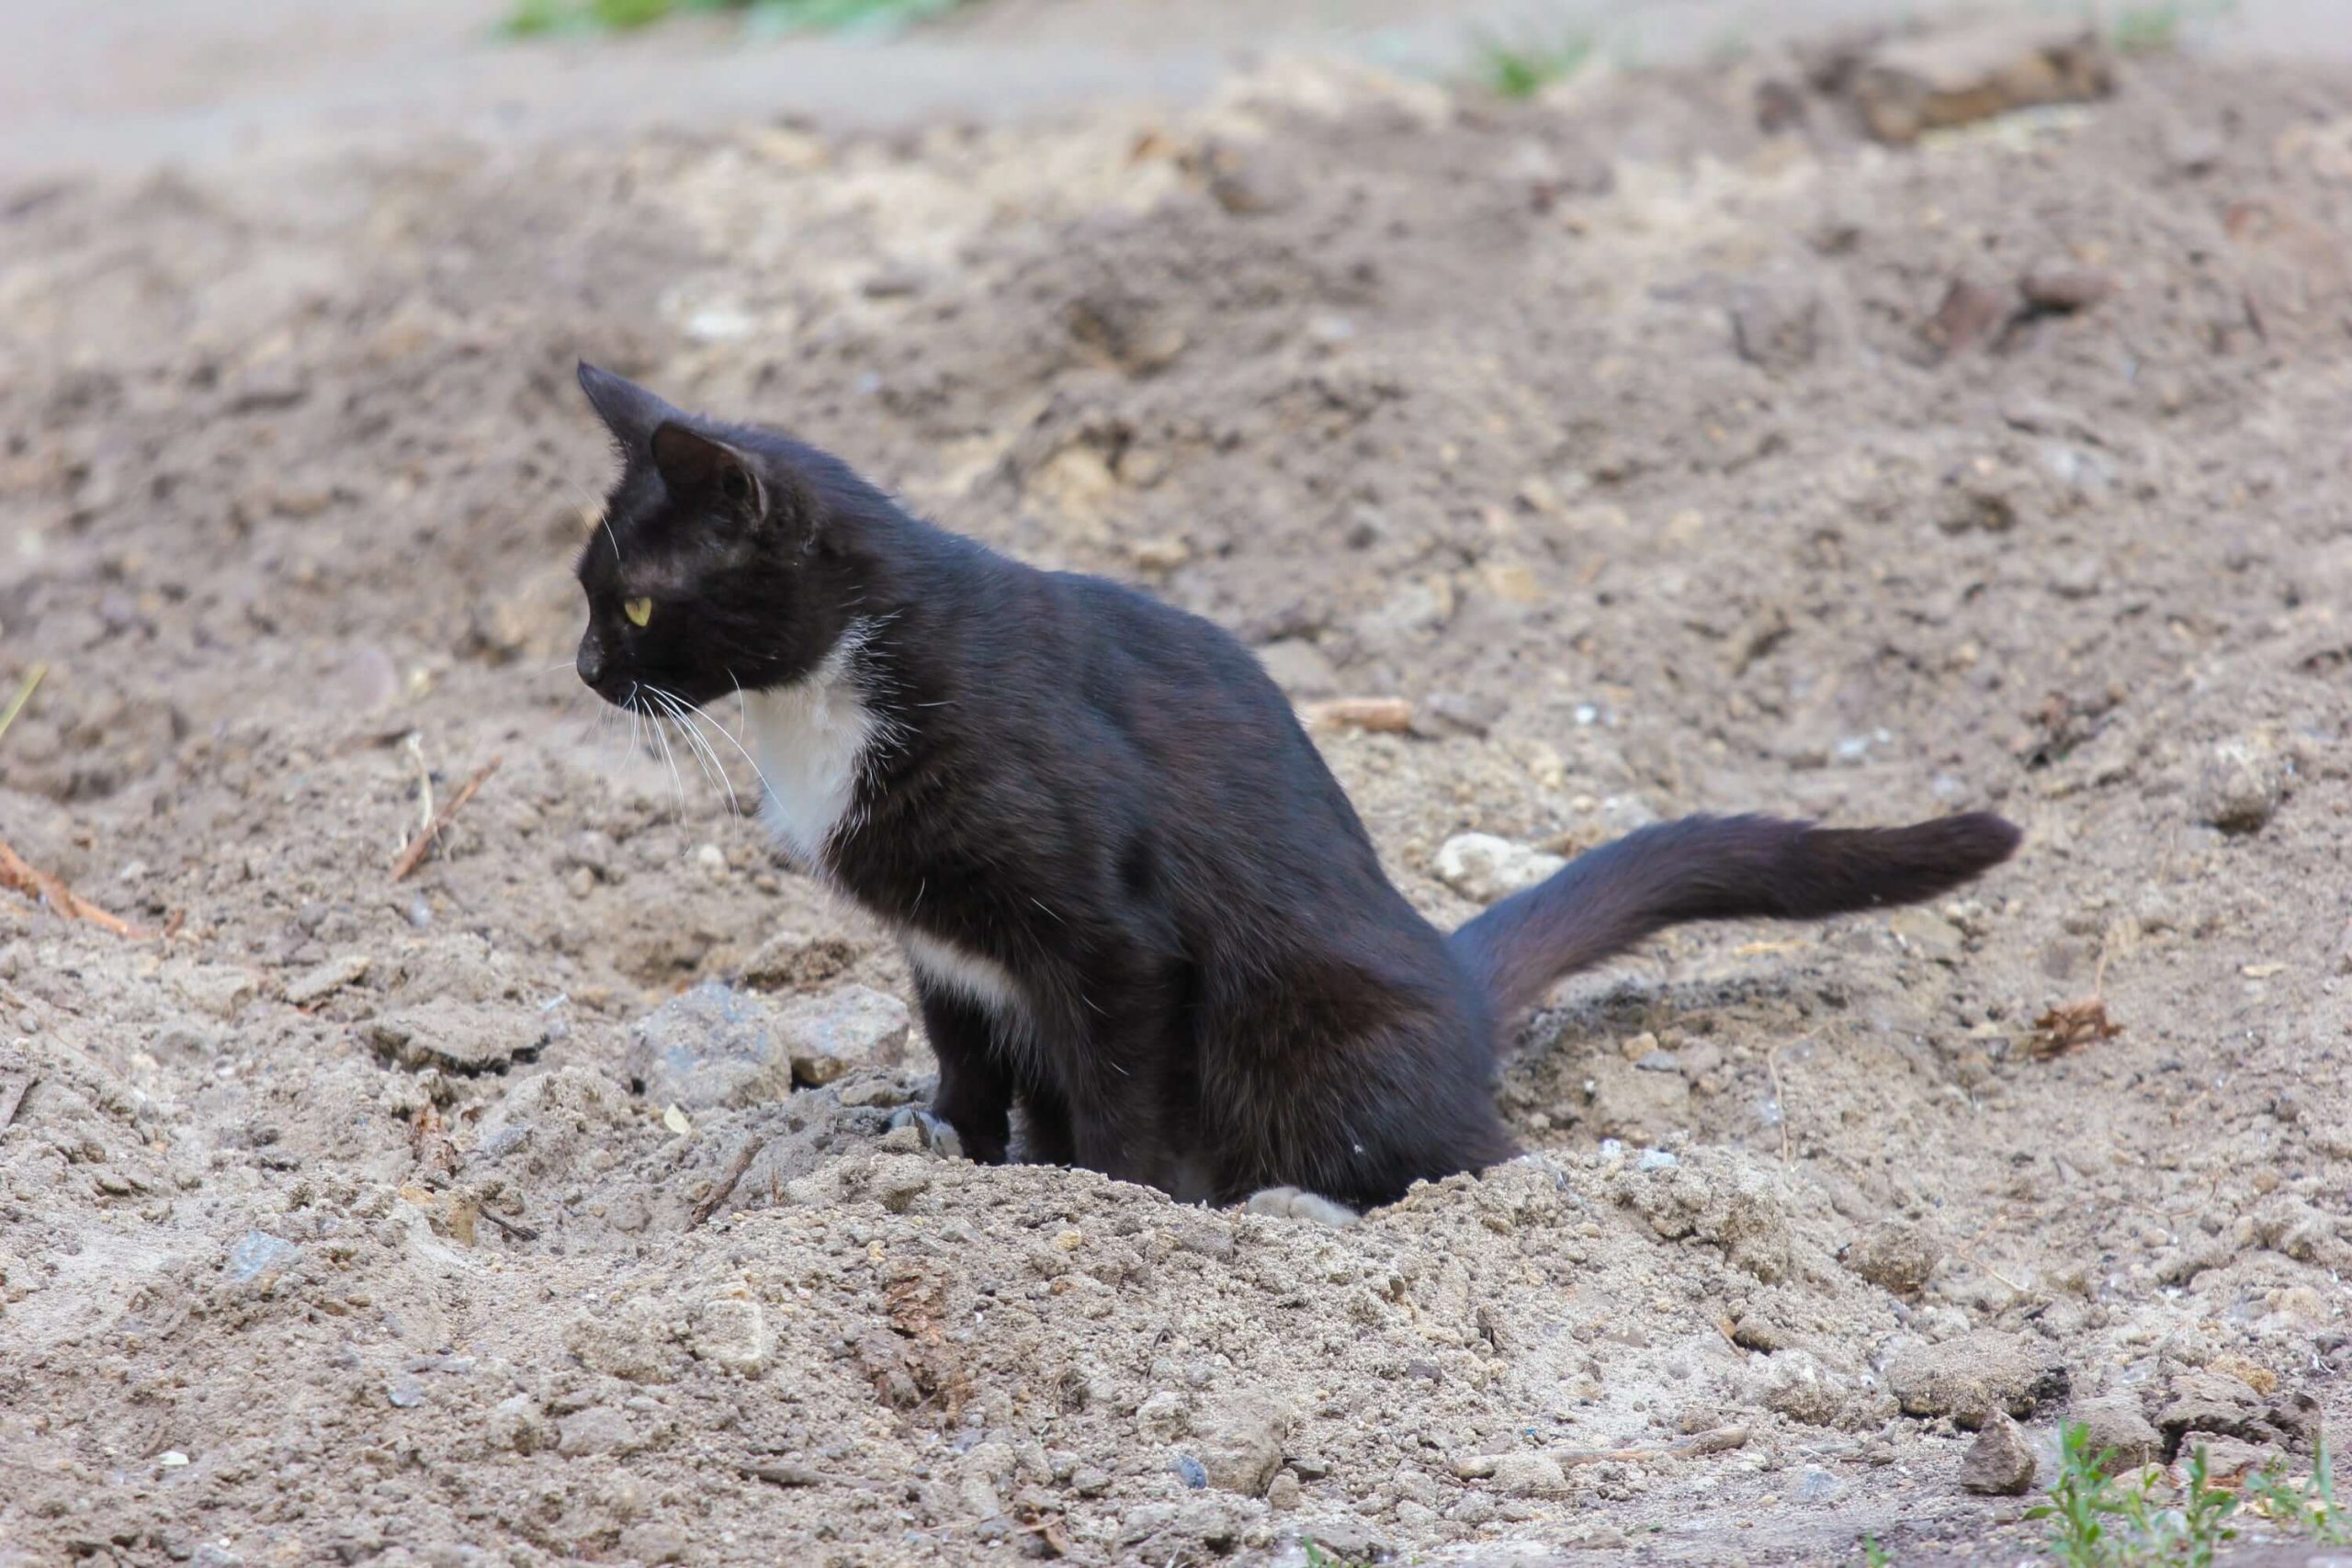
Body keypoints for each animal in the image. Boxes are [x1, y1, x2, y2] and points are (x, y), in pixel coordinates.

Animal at [573, 368, 2022, 1222]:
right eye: (589, 593)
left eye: (635, 602)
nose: (582, 669)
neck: (821, 701)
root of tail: (1454, 983)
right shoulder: (947, 950)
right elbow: (970, 1064)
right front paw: (953, 1155)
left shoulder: (1112, 938)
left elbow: (1122, 1096)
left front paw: (1105, 1210)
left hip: (1312, 1030)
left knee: (1456, 1160)